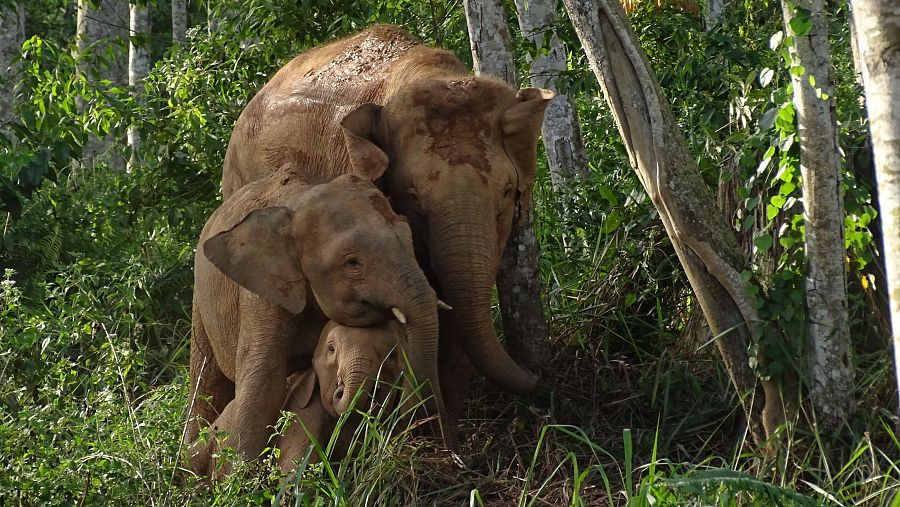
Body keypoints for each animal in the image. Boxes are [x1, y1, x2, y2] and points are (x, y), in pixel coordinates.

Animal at [187, 161, 443, 475]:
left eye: (410, 242)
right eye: (353, 262)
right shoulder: (262, 293)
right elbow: (263, 382)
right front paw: (240, 481)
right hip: (200, 299)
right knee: (205, 378)